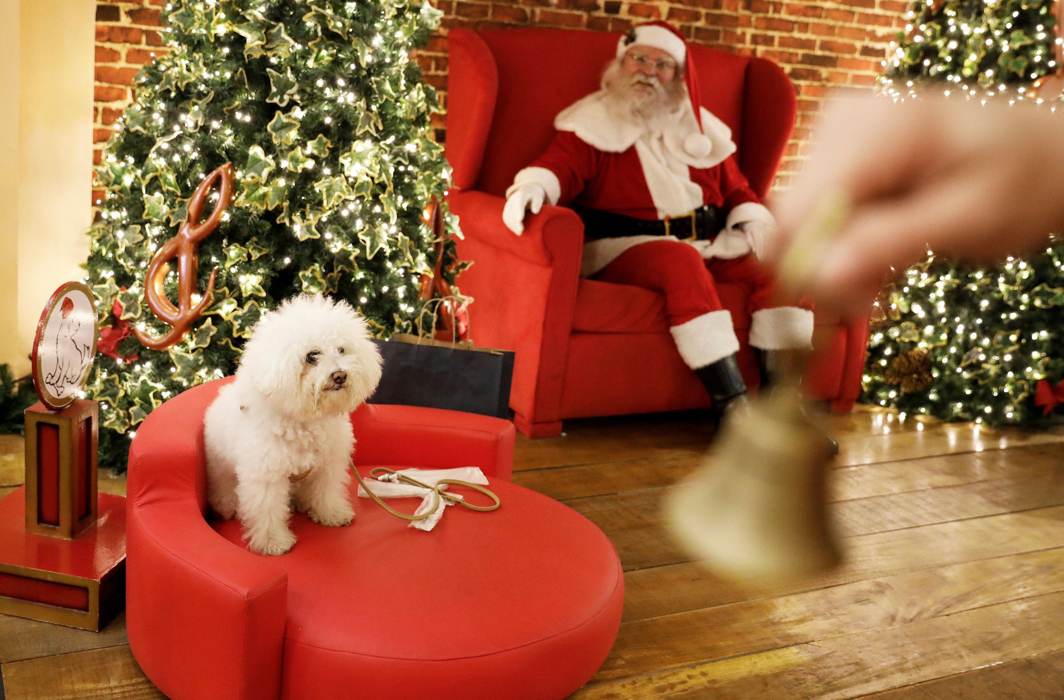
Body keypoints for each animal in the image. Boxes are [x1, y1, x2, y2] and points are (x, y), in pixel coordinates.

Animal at [203, 295, 383, 557]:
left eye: (341, 349)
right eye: (312, 356)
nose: (340, 375)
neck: (305, 419)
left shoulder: (328, 465)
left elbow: (326, 491)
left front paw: (331, 513)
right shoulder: (266, 475)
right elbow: (267, 510)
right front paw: (273, 542)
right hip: (221, 471)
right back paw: (228, 506)